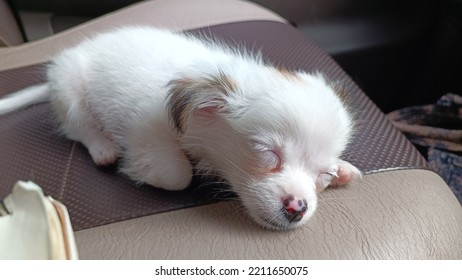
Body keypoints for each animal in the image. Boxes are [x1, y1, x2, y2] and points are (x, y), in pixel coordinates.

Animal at [0, 26, 360, 230]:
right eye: (266, 154)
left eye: (323, 174)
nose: (298, 208)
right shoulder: (147, 133)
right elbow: (178, 174)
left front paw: (344, 170)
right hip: (70, 87)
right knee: (78, 128)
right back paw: (102, 147)